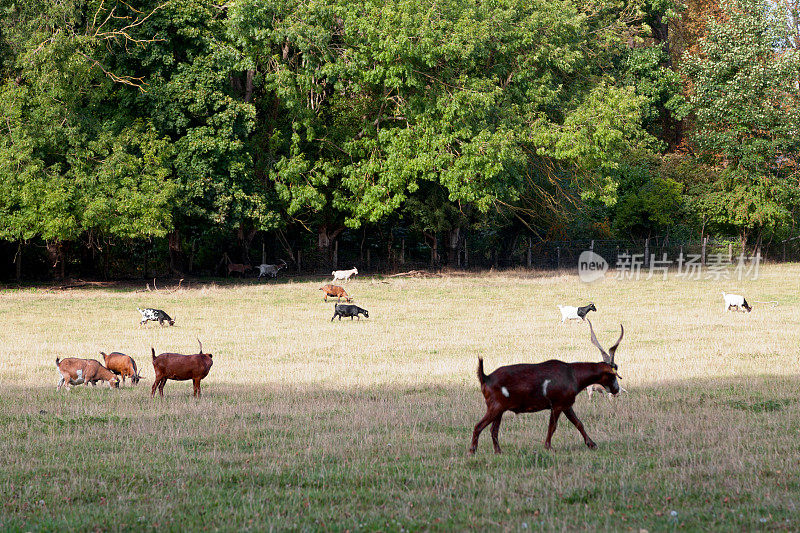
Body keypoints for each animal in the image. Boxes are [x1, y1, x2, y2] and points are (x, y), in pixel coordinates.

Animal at [468, 320, 624, 454]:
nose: (616, 390)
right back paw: (472, 451)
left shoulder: (566, 405)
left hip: (499, 410)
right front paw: (548, 447)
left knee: (493, 430)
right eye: (612, 374)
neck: (572, 374)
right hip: (495, 407)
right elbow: (552, 426)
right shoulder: (557, 405)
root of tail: (486, 377)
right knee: (478, 426)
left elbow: (578, 423)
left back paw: (498, 452)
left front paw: (592, 444)